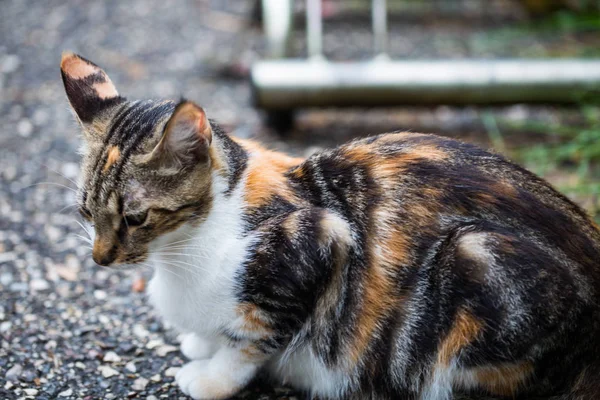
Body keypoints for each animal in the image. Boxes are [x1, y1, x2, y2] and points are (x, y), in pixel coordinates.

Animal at [59, 51, 600, 398]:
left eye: (135, 217)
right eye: (85, 212)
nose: (99, 258)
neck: (185, 250)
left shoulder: (314, 243)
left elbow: (252, 342)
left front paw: (211, 378)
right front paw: (201, 343)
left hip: (478, 257)